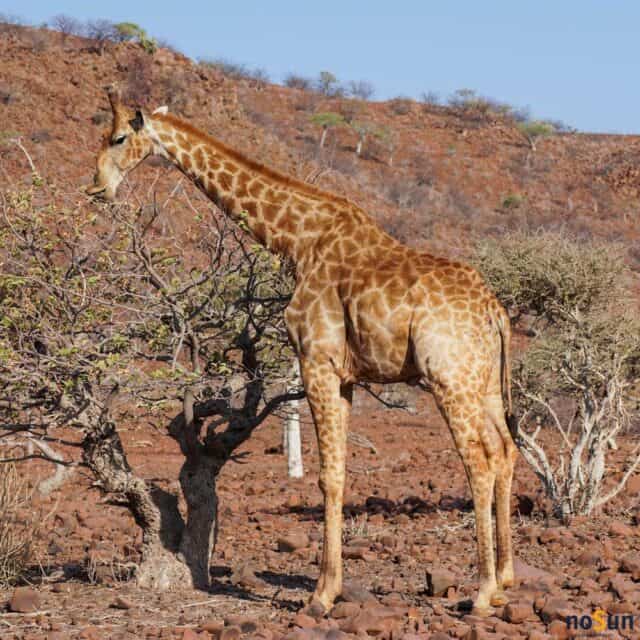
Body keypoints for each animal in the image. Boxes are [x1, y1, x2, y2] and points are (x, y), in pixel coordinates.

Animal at [87, 86, 519, 615]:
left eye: (117, 136)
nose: (97, 187)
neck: (297, 240)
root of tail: (495, 311)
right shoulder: (346, 376)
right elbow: (340, 472)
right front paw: (330, 586)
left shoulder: (318, 362)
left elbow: (327, 477)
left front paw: (321, 595)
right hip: (485, 382)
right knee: (505, 450)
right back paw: (504, 580)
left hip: (448, 378)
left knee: (478, 459)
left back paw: (480, 592)